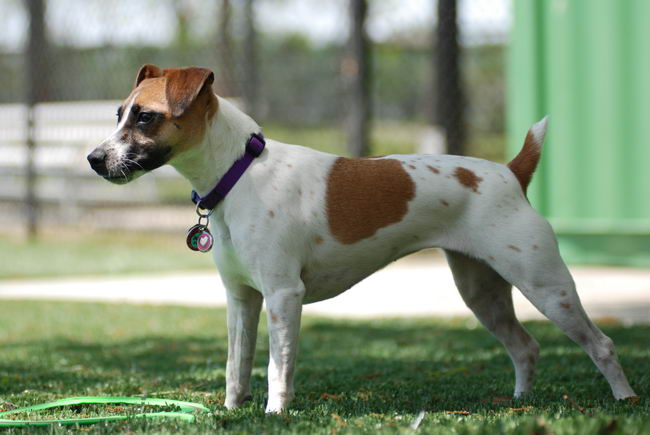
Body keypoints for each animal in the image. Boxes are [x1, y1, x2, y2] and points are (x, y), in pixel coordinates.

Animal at [86, 63, 632, 412]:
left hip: (547, 286)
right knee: (525, 348)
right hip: (482, 293)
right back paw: (520, 403)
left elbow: (277, 369)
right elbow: (235, 367)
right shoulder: (241, 299)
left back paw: (624, 399)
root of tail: (510, 172)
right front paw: (231, 411)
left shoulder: (283, 296)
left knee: (601, 345)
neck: (241, 172)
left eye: (145, 116)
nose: (93, 159)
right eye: (118, 113)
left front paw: (275, 414)